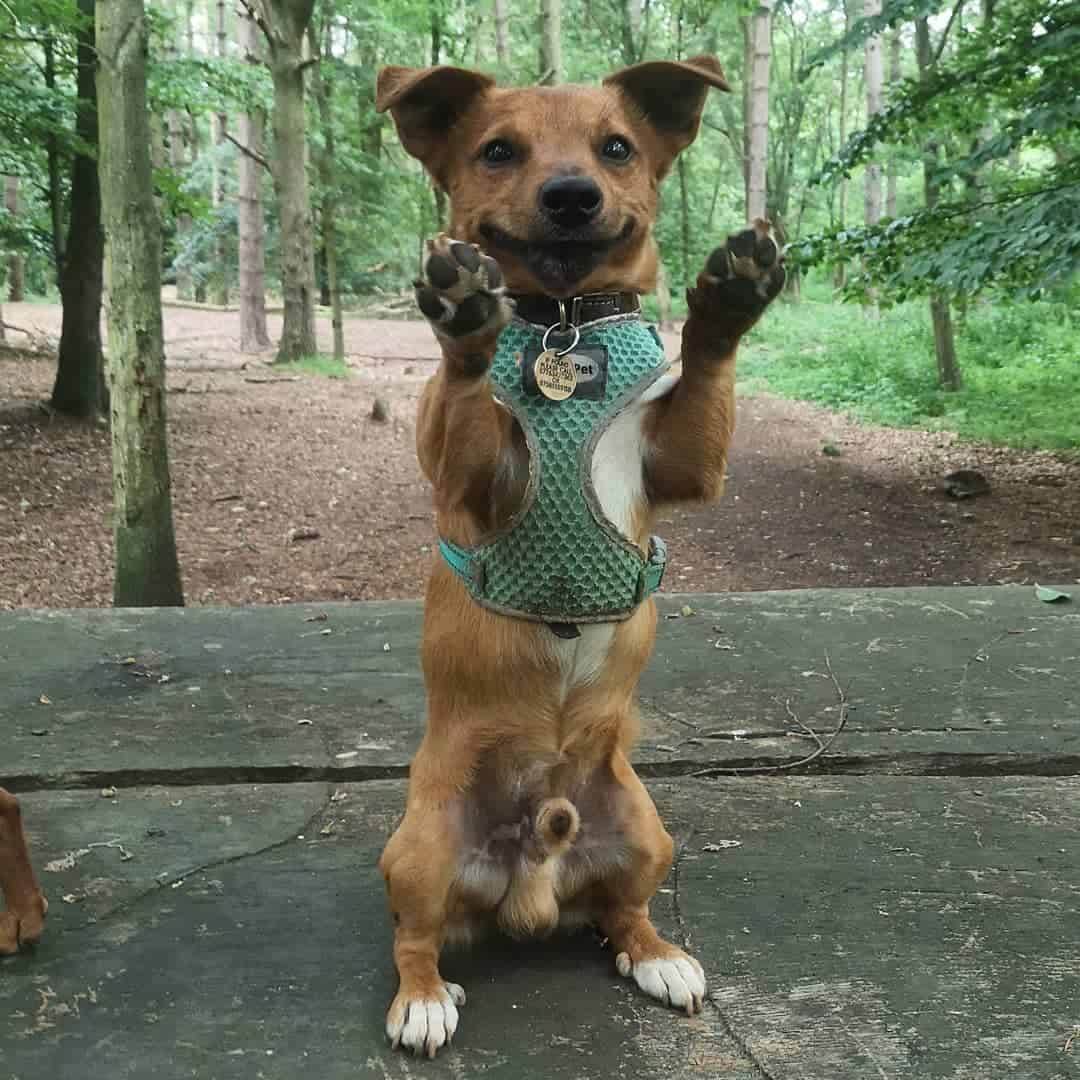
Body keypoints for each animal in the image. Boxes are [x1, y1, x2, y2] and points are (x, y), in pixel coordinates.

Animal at [375, 52, 781, 1054]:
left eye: (617, 147)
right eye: (496, 151)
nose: (570, 195)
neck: (563, 317)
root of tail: (531, 873)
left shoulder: (682, 465)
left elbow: (704, 374)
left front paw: (728, 300)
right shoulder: (471, 481)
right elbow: (467, 396)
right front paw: (463, 315)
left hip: (644, 827)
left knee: (619, 914)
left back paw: (659, 956)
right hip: (419, 847)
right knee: (416, 937)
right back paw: (423, 1000)